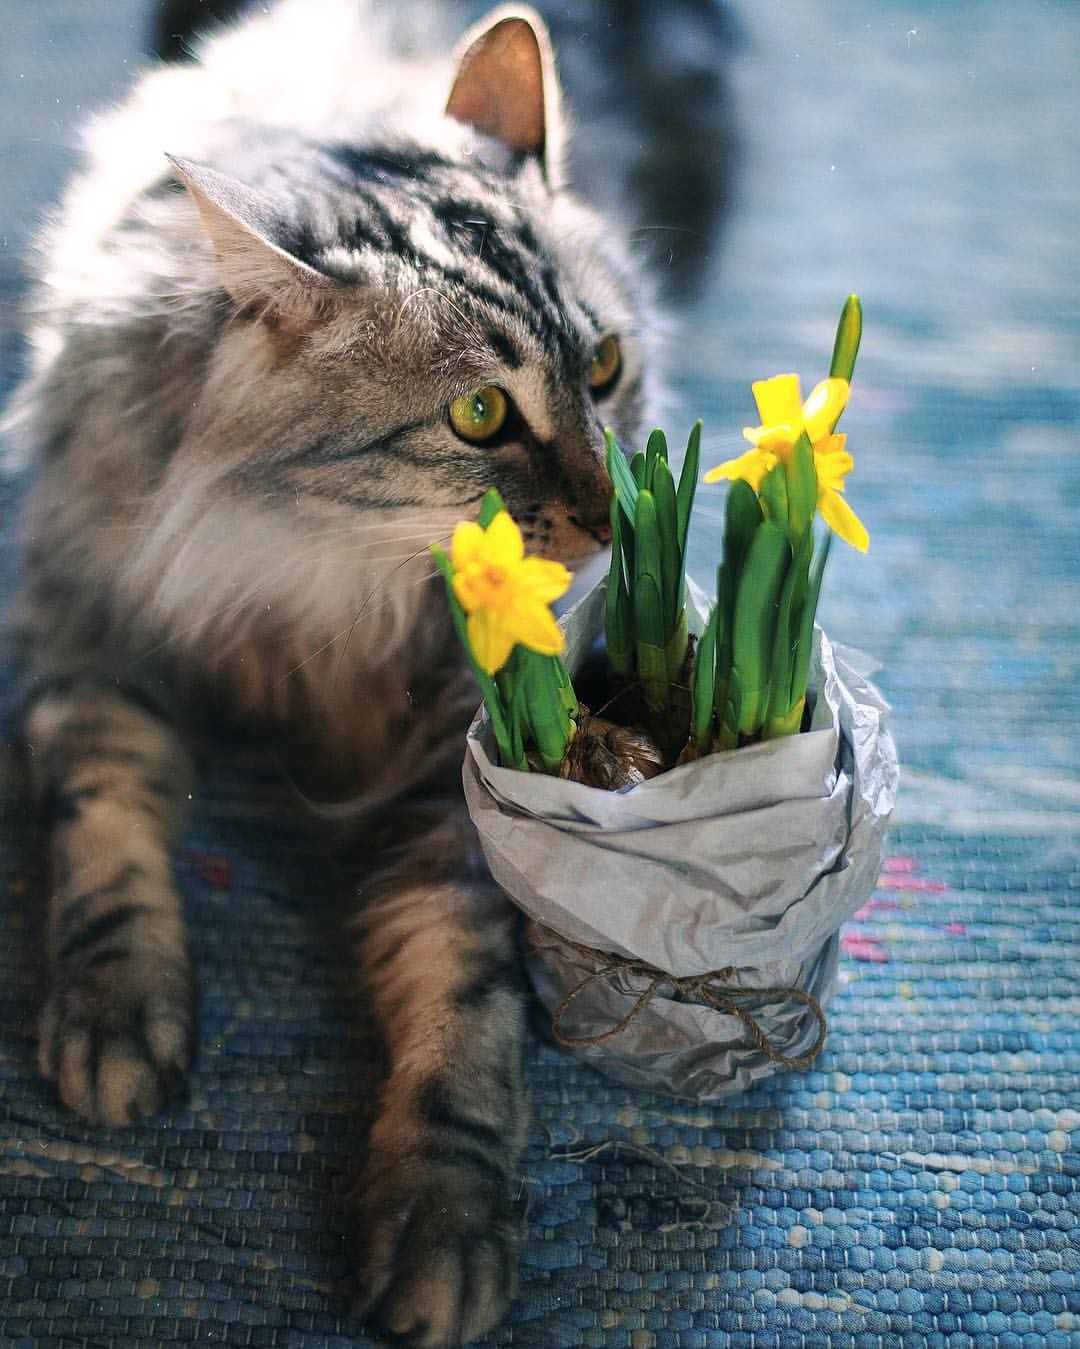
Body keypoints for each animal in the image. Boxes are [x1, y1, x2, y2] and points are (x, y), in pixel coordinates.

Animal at [6, 0, 666, 1343]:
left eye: (606, 367)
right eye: (479, 416)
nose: (609, 523)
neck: (310, 576)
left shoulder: (459, 773)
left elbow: (466, 999)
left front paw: (444, 1223)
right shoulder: (90, 638)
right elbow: (105, 826)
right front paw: (113, 1013)